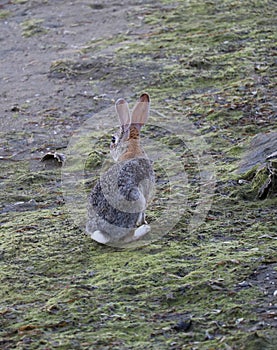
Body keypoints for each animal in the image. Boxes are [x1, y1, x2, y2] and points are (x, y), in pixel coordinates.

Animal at [85, 94, 155, 245]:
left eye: (113, 139)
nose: (110, 147)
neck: (132, 148)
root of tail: (104, 232)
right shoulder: (146, 194)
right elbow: (144, 212)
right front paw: (144, 222)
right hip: (136, 200)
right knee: (126, 238)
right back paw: (144, 229)